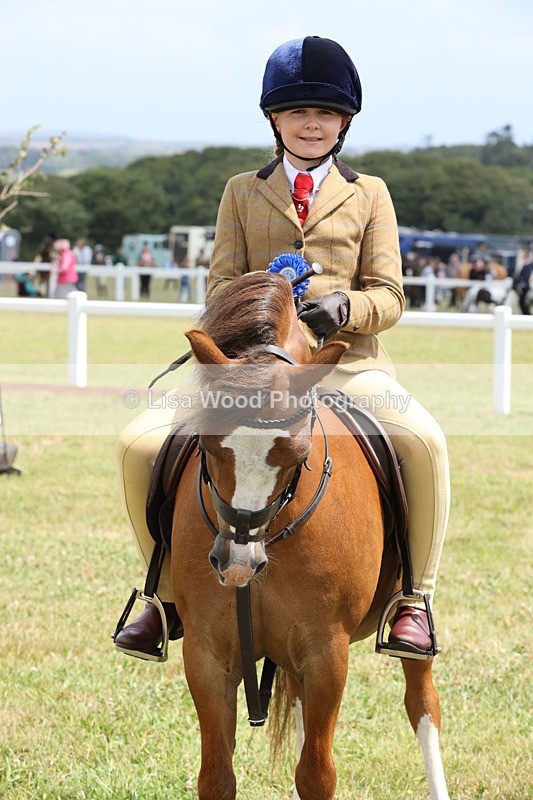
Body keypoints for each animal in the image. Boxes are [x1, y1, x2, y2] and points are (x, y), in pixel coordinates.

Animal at [169, 272, 449, 800]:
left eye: (297, 453)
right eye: (207, 444)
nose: (237, 563)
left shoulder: (326, 653)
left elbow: (316, 775)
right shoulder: (207, 653)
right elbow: (216, 775)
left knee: (423, 704)